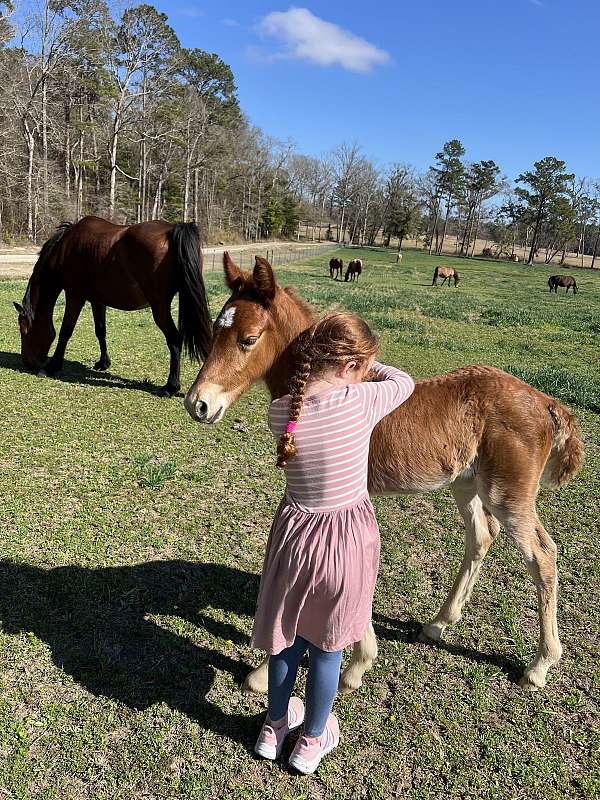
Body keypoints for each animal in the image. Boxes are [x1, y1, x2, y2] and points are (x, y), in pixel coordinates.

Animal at [13, 216, 213, 396]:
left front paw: (52, 366)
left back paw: (170, 387)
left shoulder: (75, 296)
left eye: (24, 330)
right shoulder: (97, 301)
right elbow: (100, 331)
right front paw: (103, 363)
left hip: (160, 307)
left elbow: (65, 332)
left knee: (174, 340)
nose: (26, 362)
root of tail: (172, 229)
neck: (65, 247)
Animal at [185, 252, 584, 692]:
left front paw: (333, 668)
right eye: (216, 329)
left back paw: (540, 665)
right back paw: (438, 624)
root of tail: (547, 402)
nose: (198, 404)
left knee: (542, 555)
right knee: (482, 536)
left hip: (508, 495)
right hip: (466, 484)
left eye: (248, 339)